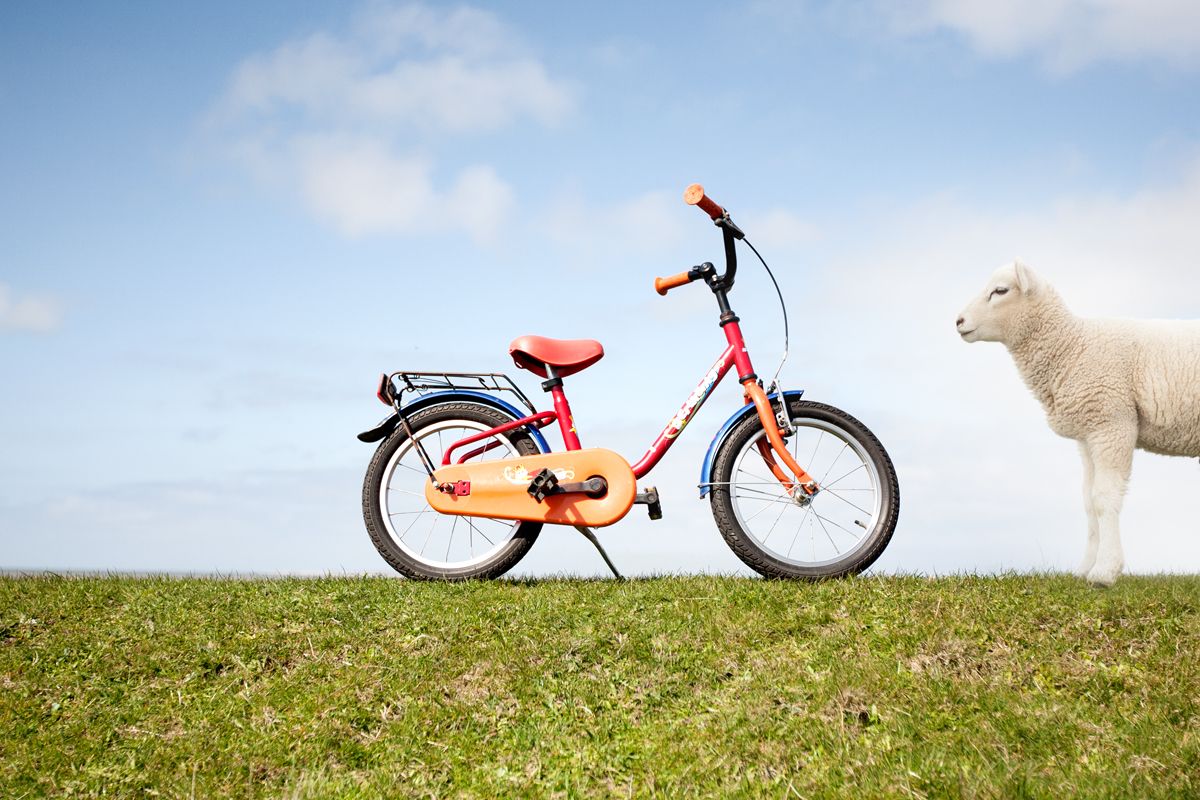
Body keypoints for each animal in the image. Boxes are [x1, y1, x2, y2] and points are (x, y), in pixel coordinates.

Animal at [955, 260, 1200, 586]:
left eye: (1001, 290)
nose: (958, 321)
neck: (1072, 345)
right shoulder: (1088, 435)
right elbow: (1088, 502)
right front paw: (1085, 568)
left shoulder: (1111, 423)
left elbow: (1103, 498)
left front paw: (1104, 572)